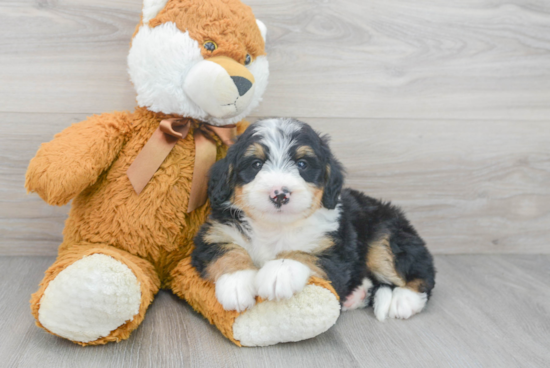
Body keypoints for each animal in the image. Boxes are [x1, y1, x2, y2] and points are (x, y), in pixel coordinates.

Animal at [192, 118, 438, 322]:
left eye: (302, 164)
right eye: (256, 164)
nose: (280, 194)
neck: (275, 227)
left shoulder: (337, 250)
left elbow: (303, 254)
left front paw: (280, 271)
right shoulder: (214, 235)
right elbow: (228, 252)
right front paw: (236, 283)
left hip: (385, 235)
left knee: (421, 273)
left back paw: (404, 300)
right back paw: (358, 295)